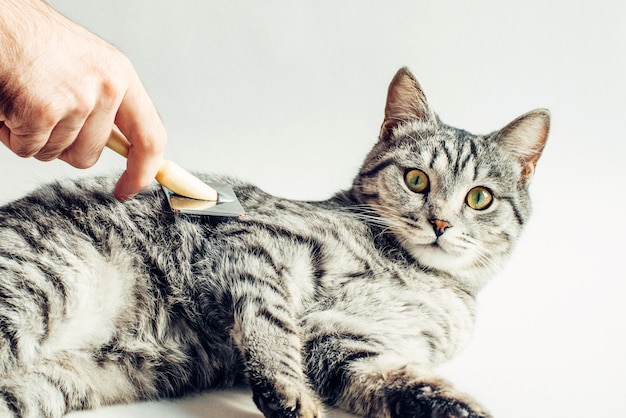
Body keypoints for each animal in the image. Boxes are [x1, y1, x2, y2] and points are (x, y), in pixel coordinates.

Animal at [0, 68, 544, 418]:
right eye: (415, 179)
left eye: (478, 198)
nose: (439, 223)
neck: (414, 274)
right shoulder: (256, 244)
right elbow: (270, 322)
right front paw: (285, 390)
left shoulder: (346, 342)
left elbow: (394, 382)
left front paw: (453, 407)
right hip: (36, 288)